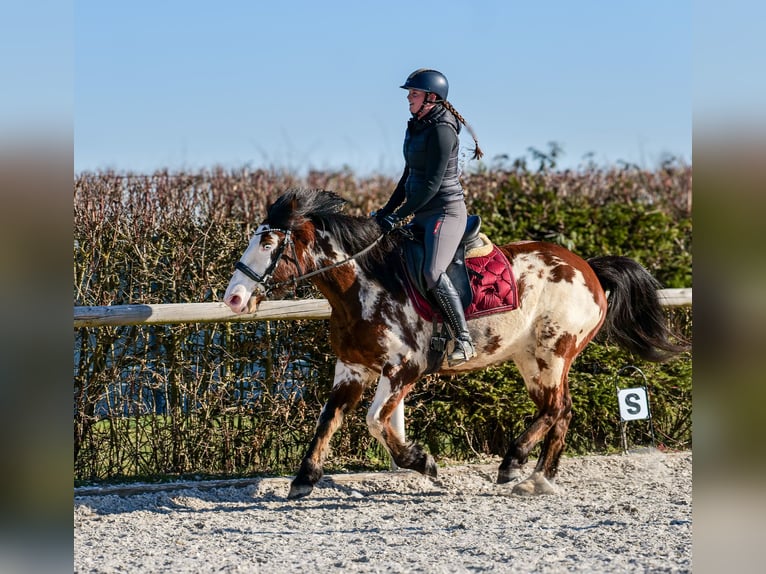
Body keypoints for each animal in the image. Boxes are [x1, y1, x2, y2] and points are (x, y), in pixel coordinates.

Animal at [222, 189, 688, 500]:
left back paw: (514, 464)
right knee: (562, 411)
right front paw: (304, 479)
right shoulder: (352, 369)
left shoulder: (404, 370)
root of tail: (588, 267)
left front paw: (423, 462)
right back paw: (540, 478)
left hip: (549, 355)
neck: (362, 286)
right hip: (538, 360)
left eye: (268, 242)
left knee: (555, 409)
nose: (234, 298)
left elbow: (375, 422)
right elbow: (328, 419)